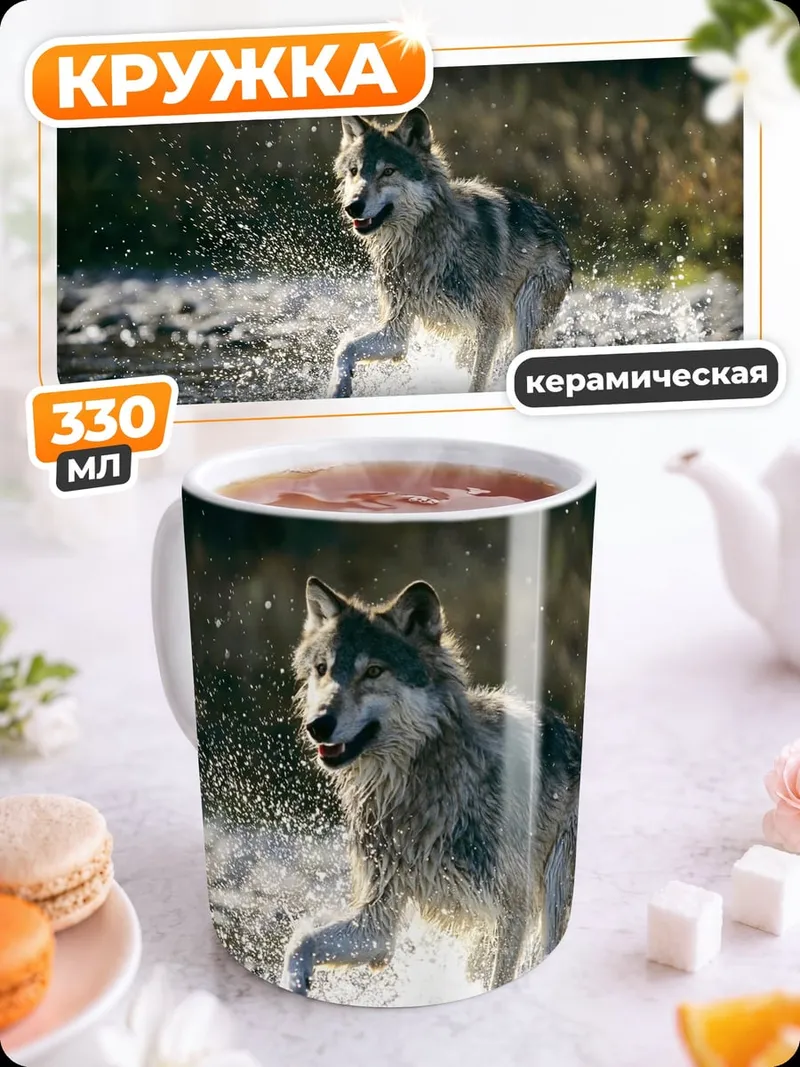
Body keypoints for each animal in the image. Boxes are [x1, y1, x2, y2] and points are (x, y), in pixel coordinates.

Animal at [280, 577, 581, 997]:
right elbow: (299, 941)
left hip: (553, 892)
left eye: (373, 671)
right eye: (322, 670)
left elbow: (496, 980)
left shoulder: (510, 913)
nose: (318, 725)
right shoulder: (378, 922)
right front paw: (293, 987)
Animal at [328, 107, 573, 399]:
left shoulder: (490, 324)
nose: (353, 206)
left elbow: (476, 384)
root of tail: (556, 227)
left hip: (524, 315)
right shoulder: (397, 332)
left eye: (388, 171)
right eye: (354, 171)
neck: (425, 246)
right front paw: (338, 389)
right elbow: (344, 347)